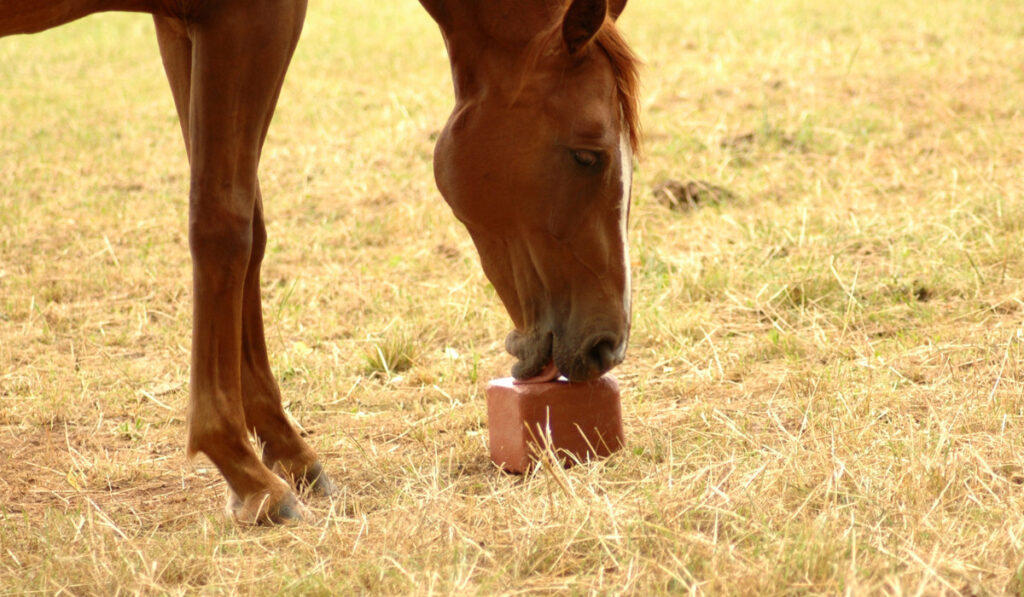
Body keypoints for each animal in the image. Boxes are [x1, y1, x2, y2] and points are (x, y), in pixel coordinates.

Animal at [0, 0, 638, 524]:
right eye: (589, 155)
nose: (609, 345)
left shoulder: (182, 24)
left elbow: (250, 230)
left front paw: (287, 451)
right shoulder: (248, 20)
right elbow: (223, 226)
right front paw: (246, 471)